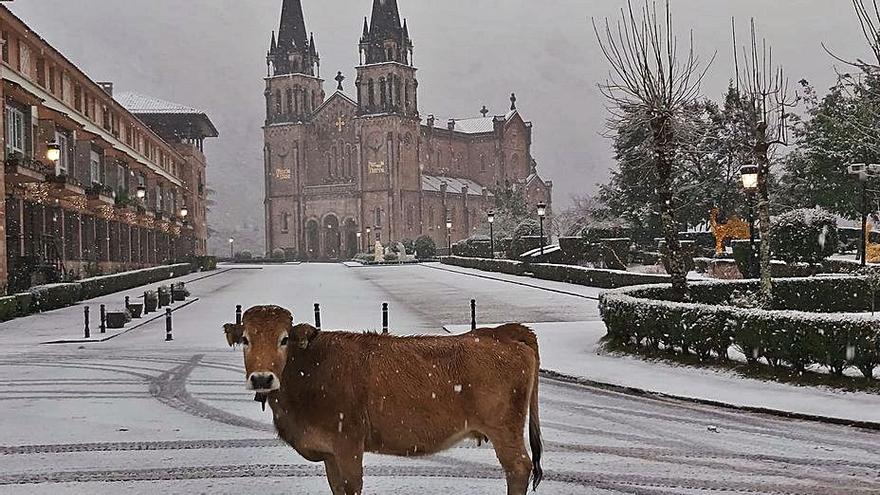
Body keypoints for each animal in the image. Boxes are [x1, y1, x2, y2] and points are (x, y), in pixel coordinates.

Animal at [225, 306, 544, 495]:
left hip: (504, 428)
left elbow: (352, 487)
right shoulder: (329, 454)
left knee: (518, 468)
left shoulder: (348, 445)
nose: (262, 379)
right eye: (246, 340)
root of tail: (502, 332)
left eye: (284, 339)